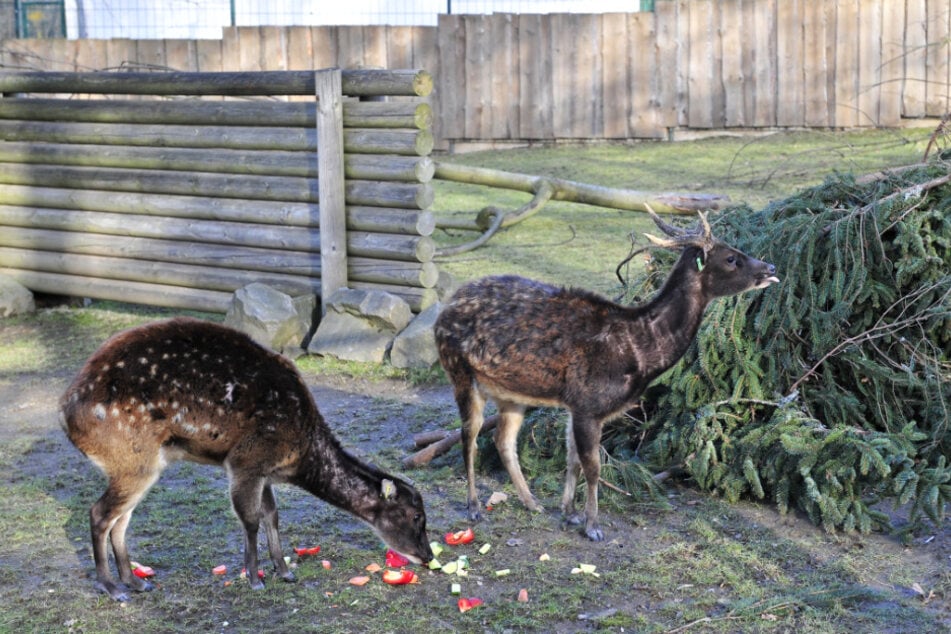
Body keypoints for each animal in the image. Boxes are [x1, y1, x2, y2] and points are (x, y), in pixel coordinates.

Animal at [60, 318, 432, 600]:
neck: (300, 452)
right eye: (416, 516)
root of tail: (67, 415)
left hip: (140, 466)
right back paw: (112, 588)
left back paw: (135, 582)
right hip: (132, 458)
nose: (427, 556)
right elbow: (250, 519)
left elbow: (272, 514)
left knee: (121, 519)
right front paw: (255, 578)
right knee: (100, 514)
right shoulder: (246, 461)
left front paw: (283, 571)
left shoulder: (265, 471)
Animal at [438, 209, 780, 540]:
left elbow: (573, 460)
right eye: (731, 258)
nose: (770, 265)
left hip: (512, 392)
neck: (639, 349)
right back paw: (473, 507)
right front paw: (592, 526)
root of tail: (444, 309)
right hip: (458, 371)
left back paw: (532, 503)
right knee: (468, 436)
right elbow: (593, 466)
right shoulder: (589, 402)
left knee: (502, 440)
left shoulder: (576, 405)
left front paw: (569, 513)